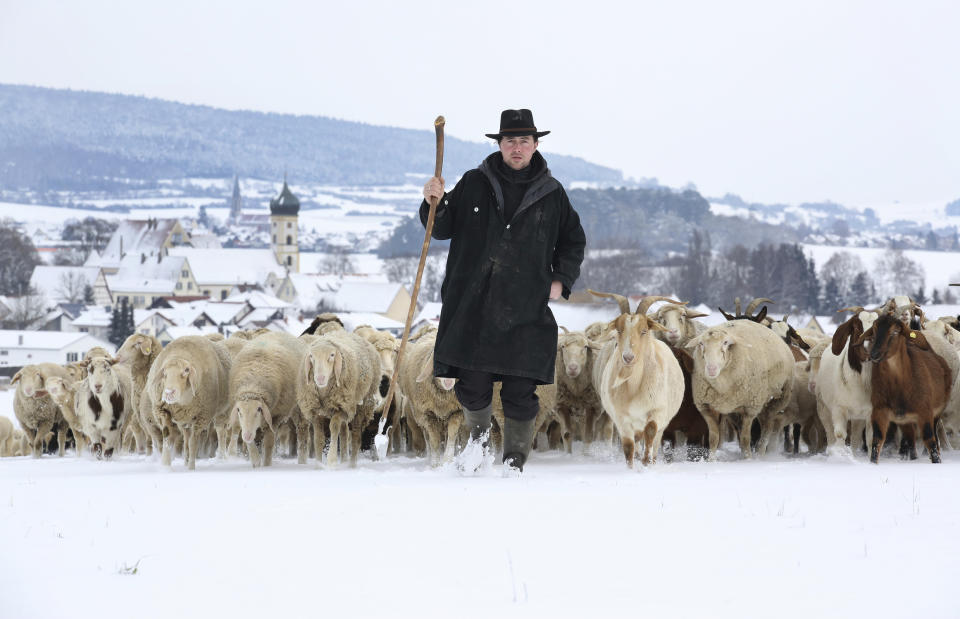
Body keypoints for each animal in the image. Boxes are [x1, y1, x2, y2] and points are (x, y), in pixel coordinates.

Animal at [145, 336, 233, 472]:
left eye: (186, 370)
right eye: (164, 372)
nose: (169, 392)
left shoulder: (202, 417)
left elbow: (193, 442)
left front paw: (191, 468)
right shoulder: (162, 411)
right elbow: (167, 438)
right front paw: (166, 466)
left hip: (223, 411)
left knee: (221, 432)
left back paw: (221, 458)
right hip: (185, 420)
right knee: (186, 438)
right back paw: (185, 460)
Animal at [856, 314, 952, 464]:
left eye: (895, 331)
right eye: (874, 331)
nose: (874, 354)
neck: (900, 385)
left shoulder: (925, 411)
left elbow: (929, 439)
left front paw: (936, 461)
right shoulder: (880, 410)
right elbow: (877, 439)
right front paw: (873, 463)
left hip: (937, 411)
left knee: (933, 436)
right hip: (904, 419)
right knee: (910, 437)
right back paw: (912, 458)